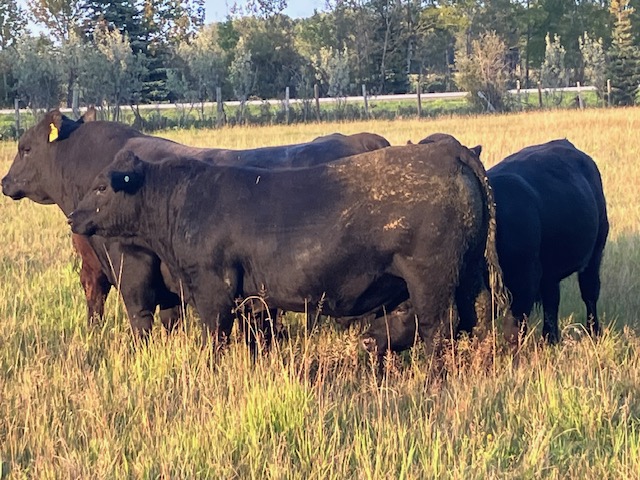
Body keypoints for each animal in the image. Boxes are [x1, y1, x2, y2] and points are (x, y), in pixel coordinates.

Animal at [1, 108, 391, 342]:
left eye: (25, 148)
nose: (5, 182)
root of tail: (365, 139)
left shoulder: (132, 267)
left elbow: (140, 317)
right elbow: (171, 318)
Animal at [67, 141, 506, 359]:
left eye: (103, 186)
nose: (73, 217)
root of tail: (446, 153)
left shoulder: (213, 289)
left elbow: (215, 339)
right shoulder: (250, 298)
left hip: (430, 278)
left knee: (439, 329)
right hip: (470, 272)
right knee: (476, 318)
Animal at [359, 136, 608, 351]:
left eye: (401, 307)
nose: (368, 340)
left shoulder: (526, 280)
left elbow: (513, 329)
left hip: (595, 252)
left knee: (590, 292)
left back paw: (594, 333)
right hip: (551, 270)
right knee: (552, 300)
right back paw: (551, 339)